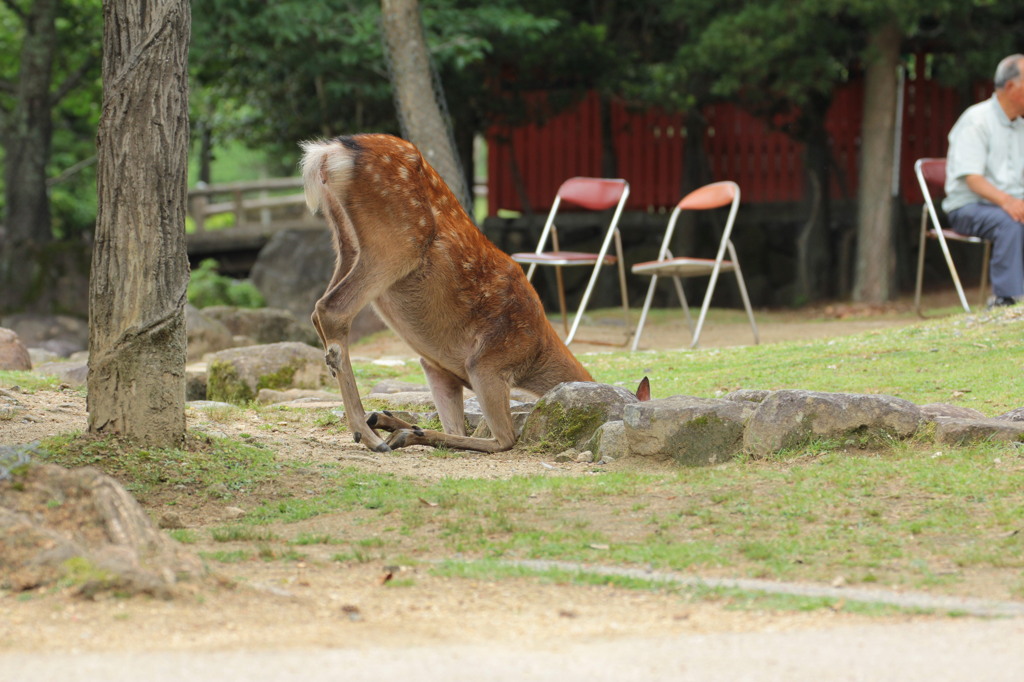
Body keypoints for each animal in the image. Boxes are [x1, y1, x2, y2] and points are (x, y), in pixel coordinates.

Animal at [299, 132, 602, 450]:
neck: (535, 352)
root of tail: (330, 152)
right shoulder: (488, 361)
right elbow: (504, 439)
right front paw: (401, 431)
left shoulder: (437, 369)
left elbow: (456, 429)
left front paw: (391, 421)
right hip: (399, 239)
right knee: (331, 309)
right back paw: (369, 435)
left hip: (345, 242)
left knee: (319, 309)